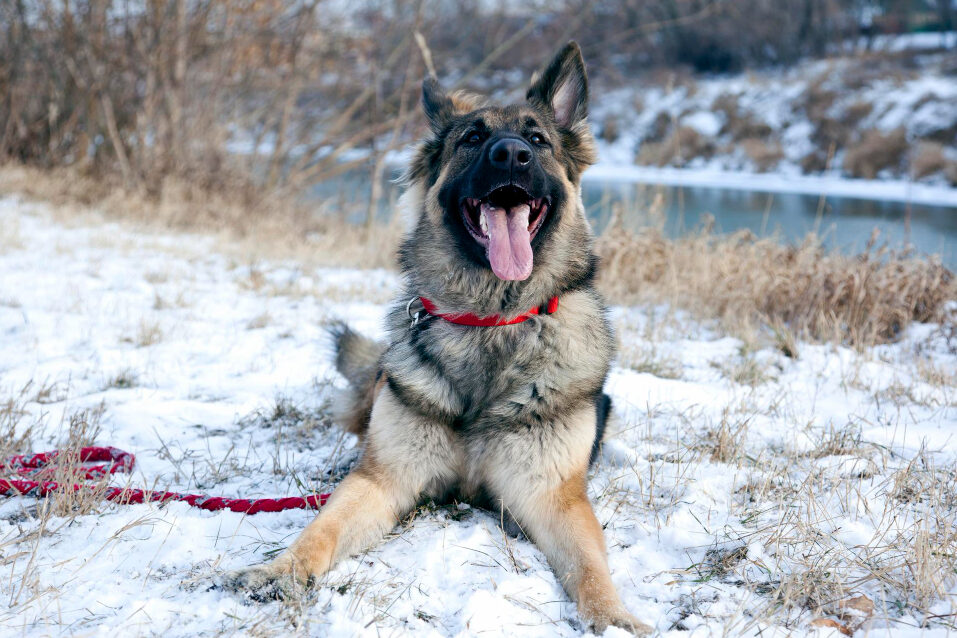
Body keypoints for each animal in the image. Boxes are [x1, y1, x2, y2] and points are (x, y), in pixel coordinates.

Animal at [228, 42, 652, 636]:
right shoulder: (383, 479)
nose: (512, 155)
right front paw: (281, 570)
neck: (491, 322)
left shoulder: (554, 498)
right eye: (472, 138)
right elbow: (323, 526)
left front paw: (615, 617)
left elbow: (591, 568)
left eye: (538, 139)